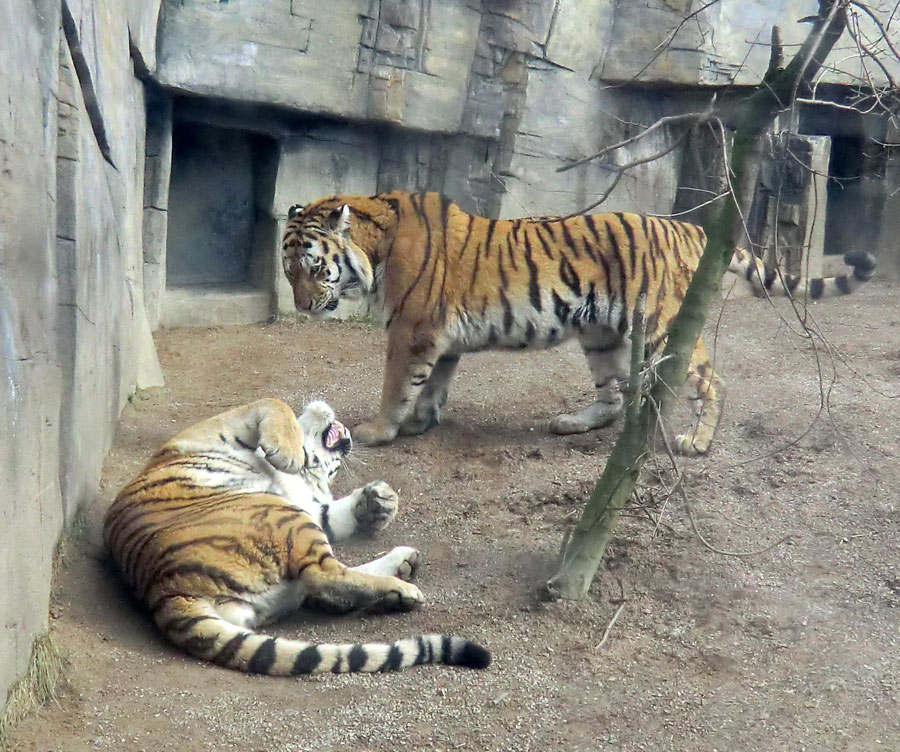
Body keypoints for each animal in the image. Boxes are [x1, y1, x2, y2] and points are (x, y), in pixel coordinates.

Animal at [105, 400, 492, 676]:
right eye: (333, 467)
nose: (347, 445)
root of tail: (162, 590)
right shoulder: (223, 425)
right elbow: (275, 402)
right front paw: (290, 452)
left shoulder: (312, 506)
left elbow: (335, 513)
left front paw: (380, 501)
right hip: (280, 515)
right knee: (325, 576)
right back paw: (403, 586)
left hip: (283, 536)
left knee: (322, 581)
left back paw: (402, 569)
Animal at [280, 191, 872, 456]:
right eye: (287, 273)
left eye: (311, 267)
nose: (303, 307)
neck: (373, 248)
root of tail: (692, 230)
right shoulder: (441, 337)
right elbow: (433, 384)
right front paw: (421, 422)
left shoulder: (412, 328)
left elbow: (397, 383)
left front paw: (379, 430)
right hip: (600, 334)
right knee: (612, 395)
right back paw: (573, 422)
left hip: (659, 324)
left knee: (712, 380)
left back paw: (697, 441)